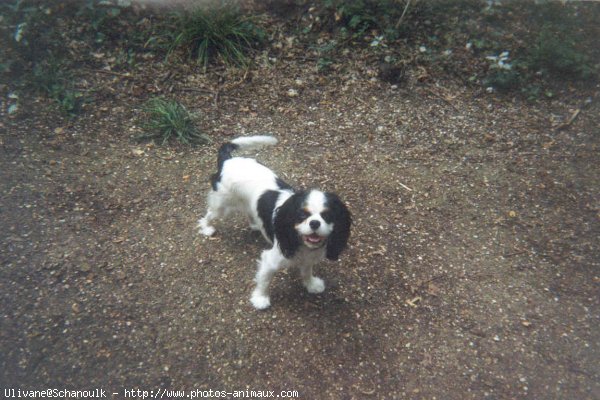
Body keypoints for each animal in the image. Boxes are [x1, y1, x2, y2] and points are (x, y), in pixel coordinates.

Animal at [199, 135, 352, 310]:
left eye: (327, 216)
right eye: (301, 215)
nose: (314, 223)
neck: (301, 244)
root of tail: (228, 161)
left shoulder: (308, 259)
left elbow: (307, 271)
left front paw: (311, 284)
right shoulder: (270, 260)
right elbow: (264, 281)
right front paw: (260, 299)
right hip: (222, 206)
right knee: (209, 215)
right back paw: (206, 228)